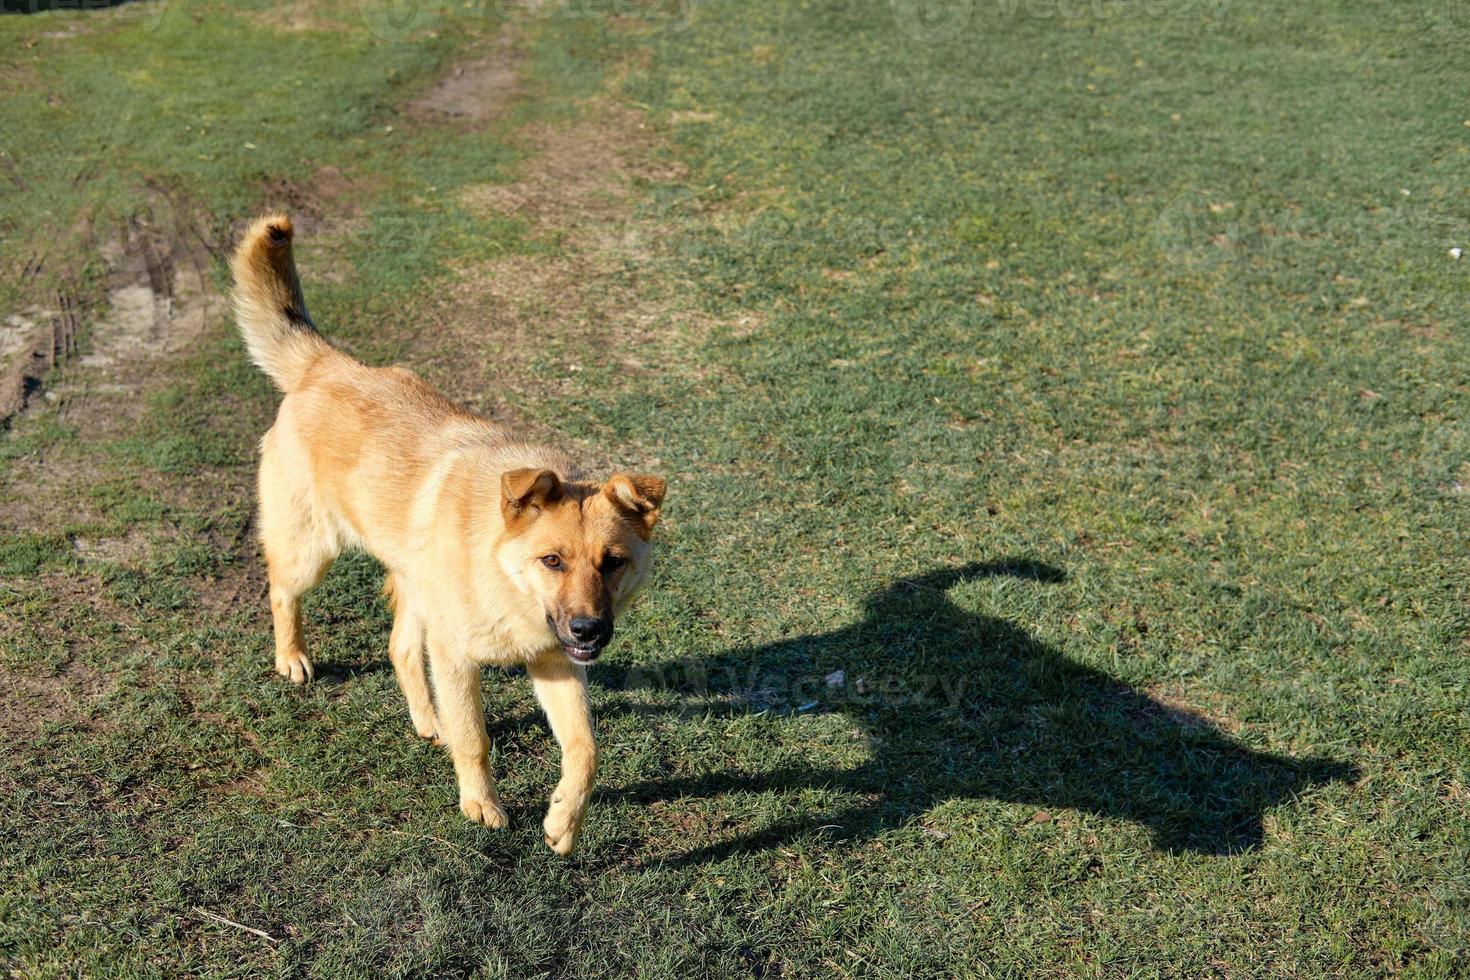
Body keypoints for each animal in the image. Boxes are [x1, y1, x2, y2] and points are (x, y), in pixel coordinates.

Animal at [227, 213, 667, 852]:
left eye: (612, 562)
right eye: (552, 561)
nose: (589, 629)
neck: (502, 575)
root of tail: (326, 366)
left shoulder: (554, 663)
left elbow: (586, 749)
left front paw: (563, 820)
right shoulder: (459, 659)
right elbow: (475, 737)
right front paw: (481, 804)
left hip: (417, 590)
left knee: (400, 649)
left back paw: (426, 719)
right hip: (313, 551)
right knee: (282, 591)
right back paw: (293, 658)